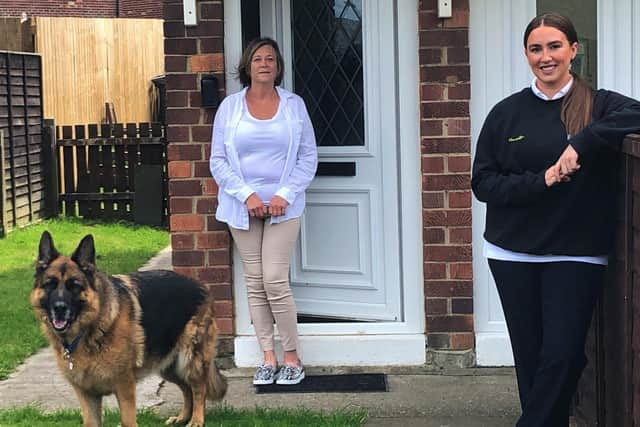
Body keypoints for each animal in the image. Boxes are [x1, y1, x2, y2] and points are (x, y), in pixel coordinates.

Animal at [31, 232, 230, 426]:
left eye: (74, 286)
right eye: (50, 284)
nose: (59, 308)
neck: (89, 331)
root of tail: (201, 285)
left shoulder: (125, 387)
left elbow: (128, 421)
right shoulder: (87, 396)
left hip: (190, 360)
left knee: (199, 389)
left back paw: (196, 420)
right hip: (168, 365)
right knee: (186, 389)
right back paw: (182, 417)